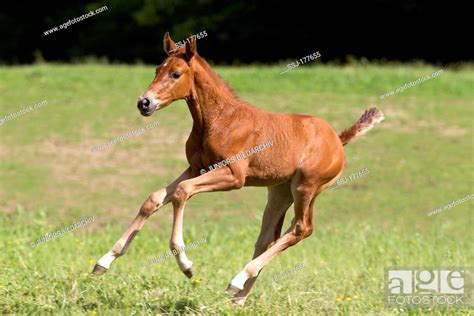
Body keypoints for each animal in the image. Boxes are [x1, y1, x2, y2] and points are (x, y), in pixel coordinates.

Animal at [92, 32, 386, 306]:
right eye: (157, 69)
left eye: (176, 74)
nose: (144, 103)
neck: (219, 120)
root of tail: (338, 138)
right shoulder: (196, 168)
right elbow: (154, 199)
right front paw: (104, 261)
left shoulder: (233, 176)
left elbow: (182, 192)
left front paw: (187, 266)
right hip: (280, 191)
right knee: (269, 237)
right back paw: (238, 296)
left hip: (307, 186)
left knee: (302, 229)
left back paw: (238, 280)